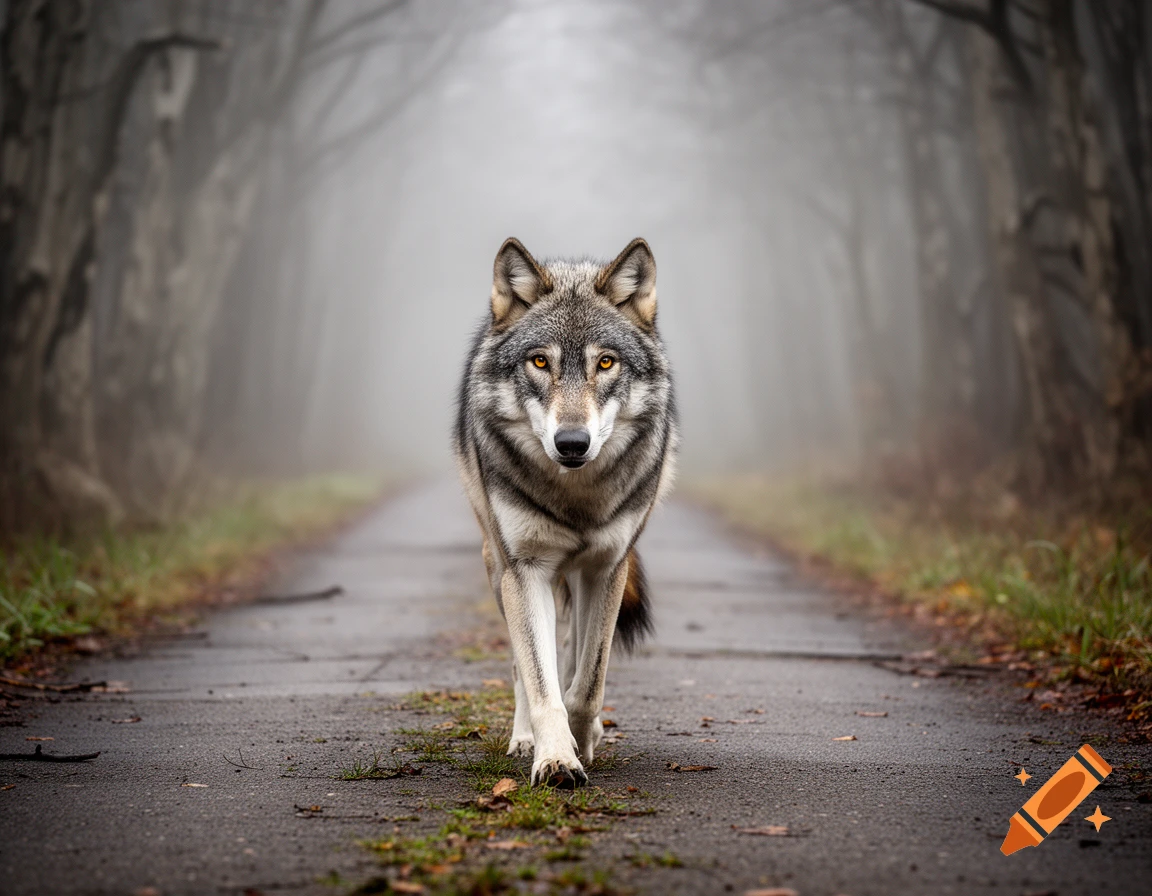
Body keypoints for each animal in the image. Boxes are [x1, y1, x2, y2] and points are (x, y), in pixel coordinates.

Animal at [454, 237, 678, 787]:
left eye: (606, 363)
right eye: (539, 362)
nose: (572, 443)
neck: (575, 496)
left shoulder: (608, 567)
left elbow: (588, 681)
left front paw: (584, 739)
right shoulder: (526, 569)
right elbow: (540, 680)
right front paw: (555, 757)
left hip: (582, 575)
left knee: (575, 649)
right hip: (499, 567)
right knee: (523, 664)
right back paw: (523, 740)